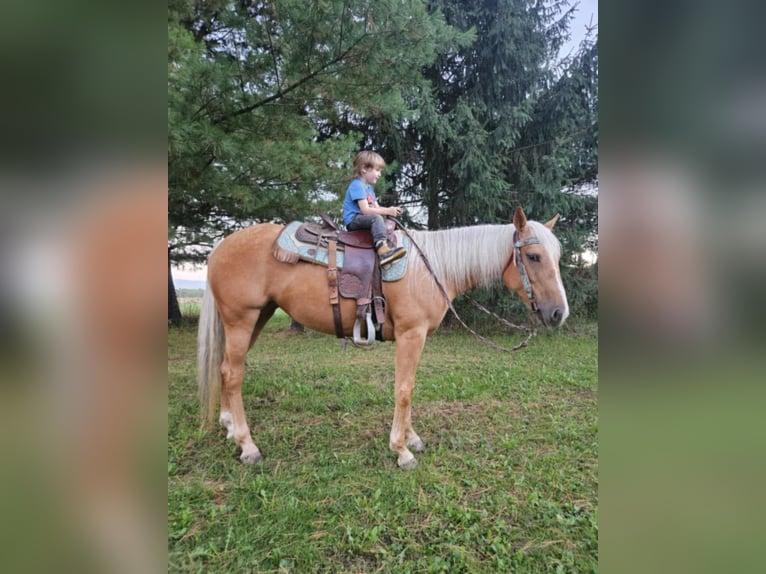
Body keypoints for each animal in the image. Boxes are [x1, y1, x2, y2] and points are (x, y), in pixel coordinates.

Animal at [198, 207, 568, 468]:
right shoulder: (410, 334)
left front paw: (411, 438)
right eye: (533, 256)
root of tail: (220, 247)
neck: (430, 268)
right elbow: (404, 390)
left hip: (255, 318)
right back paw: (247, 446)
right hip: (242, 319)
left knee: (225, 370)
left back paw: (229, 426)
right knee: (233, 374)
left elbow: (410, 387)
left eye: (557, 257)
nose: (559, 313)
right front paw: (402, 450)